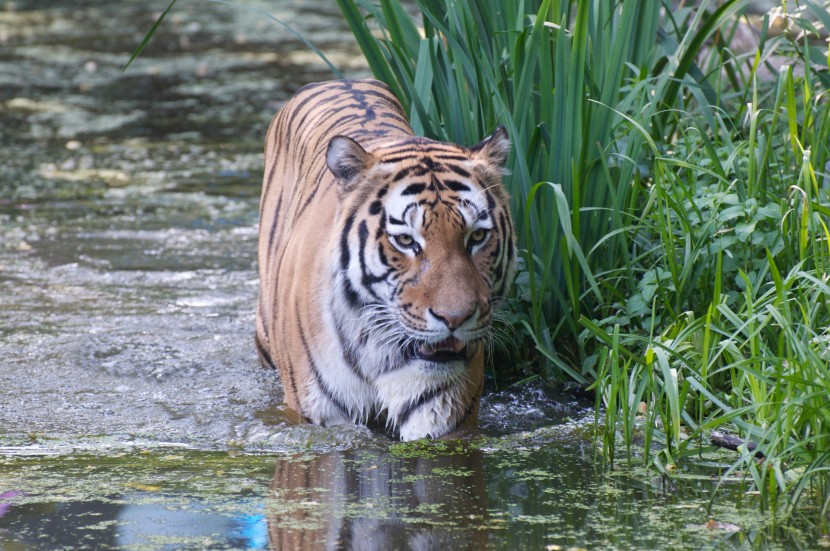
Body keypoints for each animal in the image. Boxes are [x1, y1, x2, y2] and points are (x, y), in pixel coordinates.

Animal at [255, 77, 512, 442]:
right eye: (406, 240)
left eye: (477, 236)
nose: (455, 319)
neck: (377, 351)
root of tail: (338, 79)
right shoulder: (320, 416)